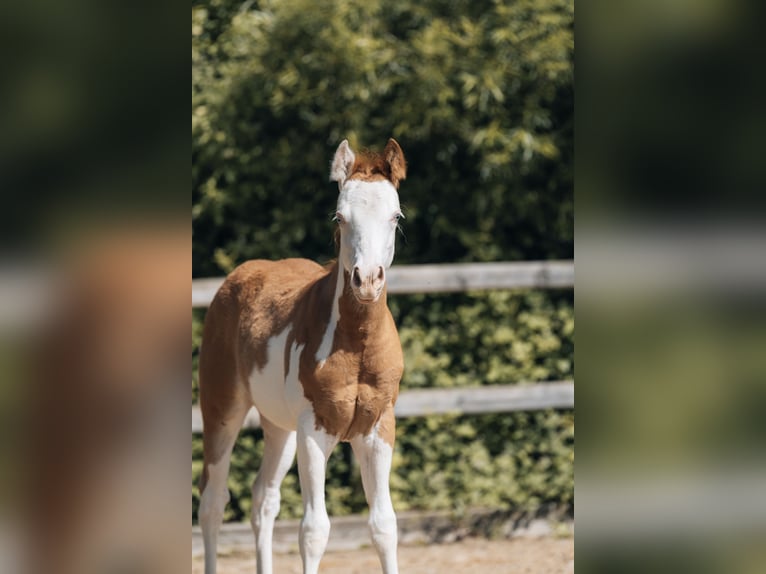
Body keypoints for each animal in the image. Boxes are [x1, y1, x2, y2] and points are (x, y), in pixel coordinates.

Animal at [201, 140, 412, 574]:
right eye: (340, 216)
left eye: (396, 216)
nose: (367, 280)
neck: (356, 347)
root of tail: (234, 280)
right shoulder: (315, 430)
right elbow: (315, 531)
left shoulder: (378, 429)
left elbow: (384, 525)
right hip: (222, 410)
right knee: (212, 502)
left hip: (280, 426)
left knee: (263, 498)